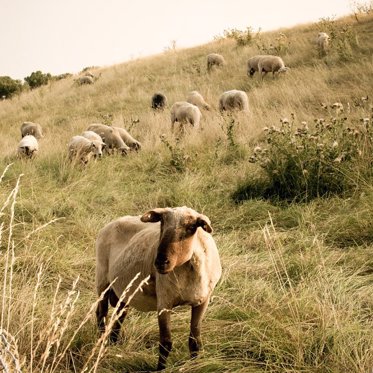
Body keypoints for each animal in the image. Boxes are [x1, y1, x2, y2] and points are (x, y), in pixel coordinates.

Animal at [94, 206, 221, 370]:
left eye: (191, 227)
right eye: (162, 223)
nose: (161, 261)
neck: (188, 269)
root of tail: (112, 223)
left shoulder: (202, 301)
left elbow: (194, 341)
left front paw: (195, 365)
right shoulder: (164, 303)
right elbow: (166, 343)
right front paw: (160, 369)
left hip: (124, 289)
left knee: (119, 315)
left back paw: (113, 343)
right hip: (102, 280)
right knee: (101, 313)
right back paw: (102, 344)